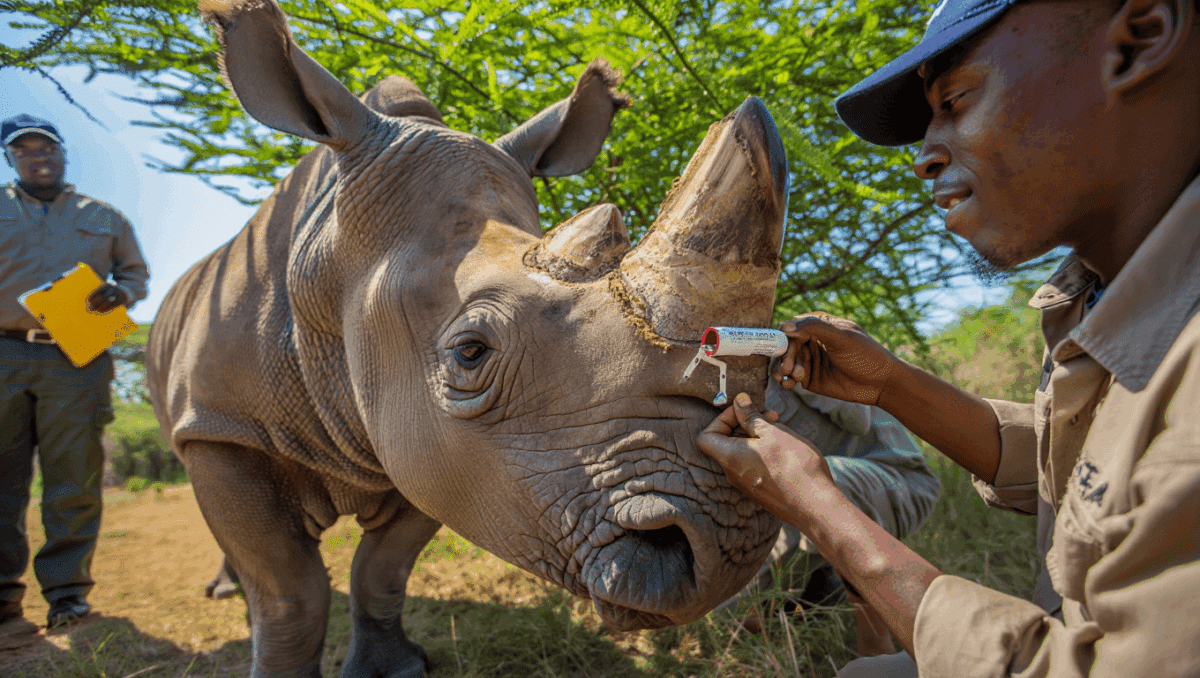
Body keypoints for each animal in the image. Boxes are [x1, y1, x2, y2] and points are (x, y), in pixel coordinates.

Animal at [147, 0, 791, 675]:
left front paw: (396, 668)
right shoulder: (221, 425)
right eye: (470, 352)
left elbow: (383, 567)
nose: (726, 552)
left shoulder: (426, 440)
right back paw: (229, 595)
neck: (325, 269)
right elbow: (291, 593)